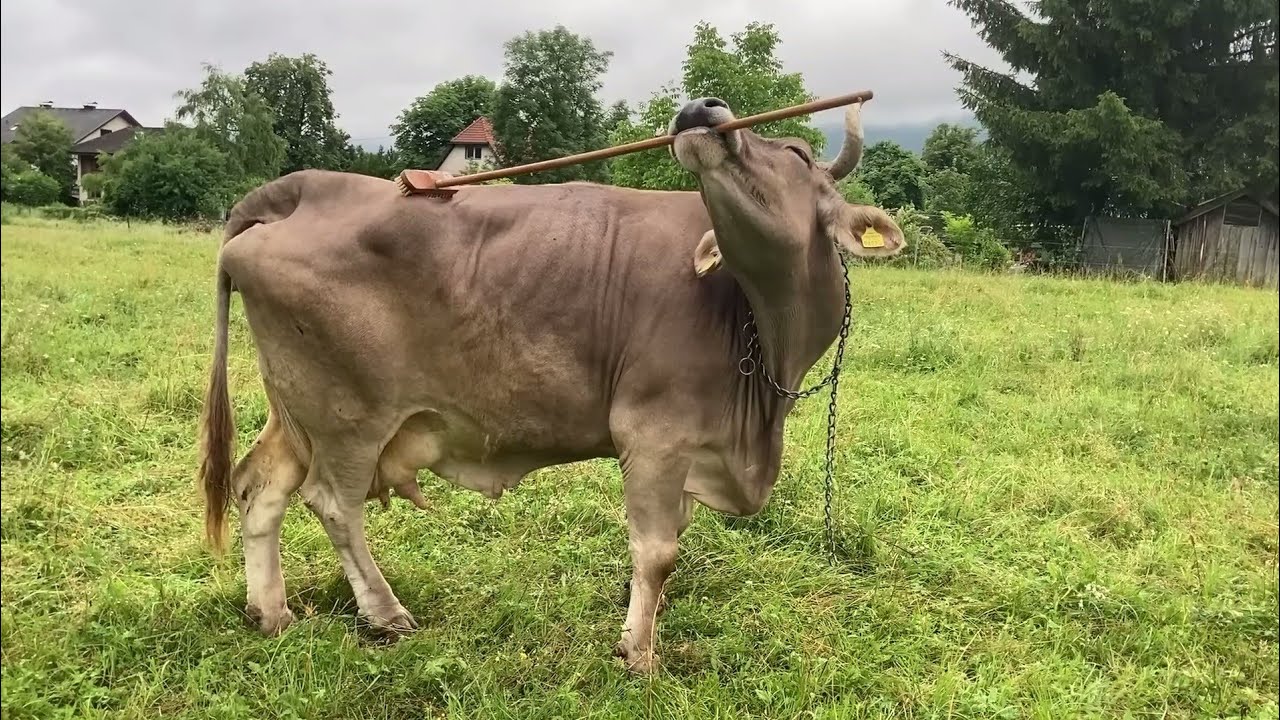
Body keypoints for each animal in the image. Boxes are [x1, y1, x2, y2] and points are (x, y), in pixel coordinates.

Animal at [197, 96, 905, 674]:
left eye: (797, 154)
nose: (701, 108)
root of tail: (309, 186)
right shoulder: (654, 433)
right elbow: (657, 551)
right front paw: (638, 653)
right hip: (348, 415)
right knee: (332, 503)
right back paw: (385, 613)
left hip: (295, 408)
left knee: (259, 486)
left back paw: (272, 612)